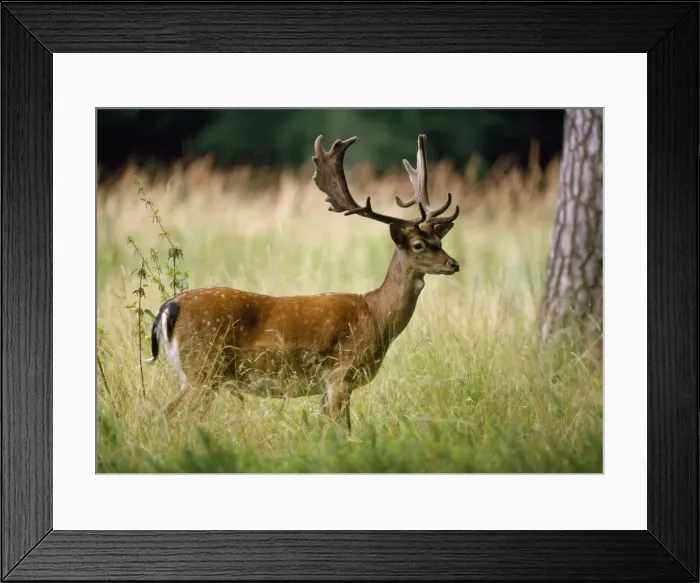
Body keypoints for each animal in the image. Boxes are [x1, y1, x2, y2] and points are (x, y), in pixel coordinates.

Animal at [146, 134, 460, 434]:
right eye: (419, 245)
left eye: (440, 240)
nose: (453, 264)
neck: (375, 315)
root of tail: (167, 308)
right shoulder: (340, 374)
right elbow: (344, 429)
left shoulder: (326, 387)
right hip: (202, 369)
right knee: (171, 414)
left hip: (197, 375)